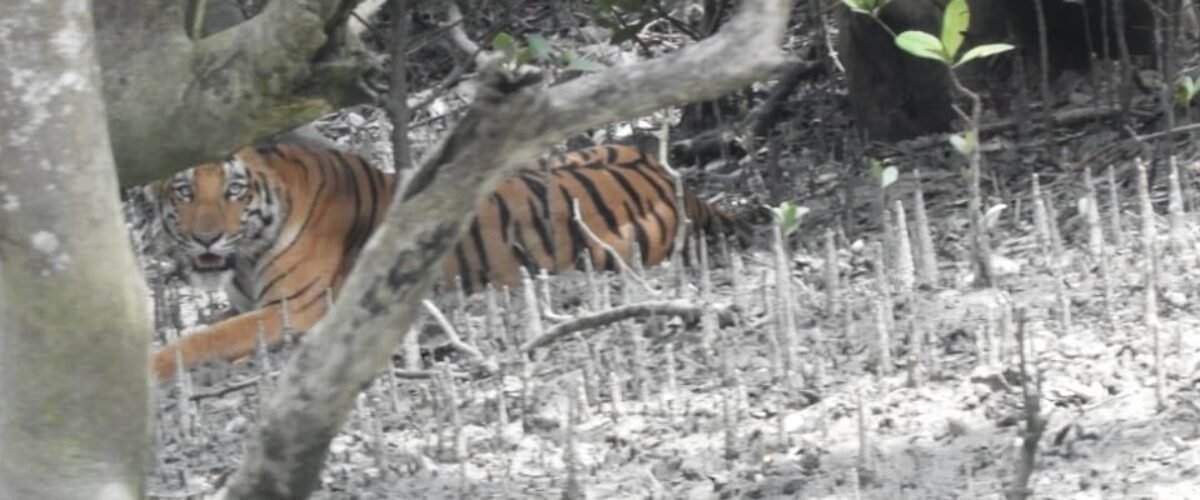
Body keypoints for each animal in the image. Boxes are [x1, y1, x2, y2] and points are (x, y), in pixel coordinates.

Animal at [145, 141, 734, 378]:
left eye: (234, 191)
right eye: (184, 191)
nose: (204, 240)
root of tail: (671, 178)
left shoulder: (300, 308)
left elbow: (203, 338)